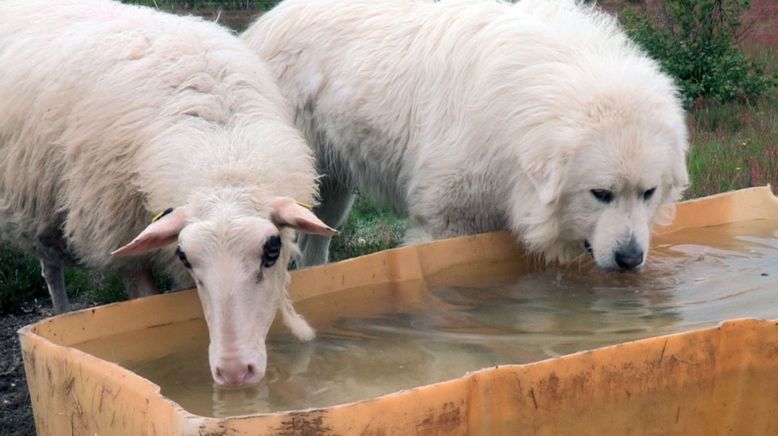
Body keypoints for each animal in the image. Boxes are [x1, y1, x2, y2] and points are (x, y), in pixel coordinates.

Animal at [0, 0, 330, 386]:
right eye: (184, 255)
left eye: (272, 250)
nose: (234, 372)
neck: (222, 153)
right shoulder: (122, 242)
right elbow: (146, 299)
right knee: (51, 269)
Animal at [241, 0, 684, 270]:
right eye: (601, 194)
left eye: (648, 193)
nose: (630, 258)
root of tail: (264, 22)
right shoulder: (447, 219)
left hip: (332, 189)